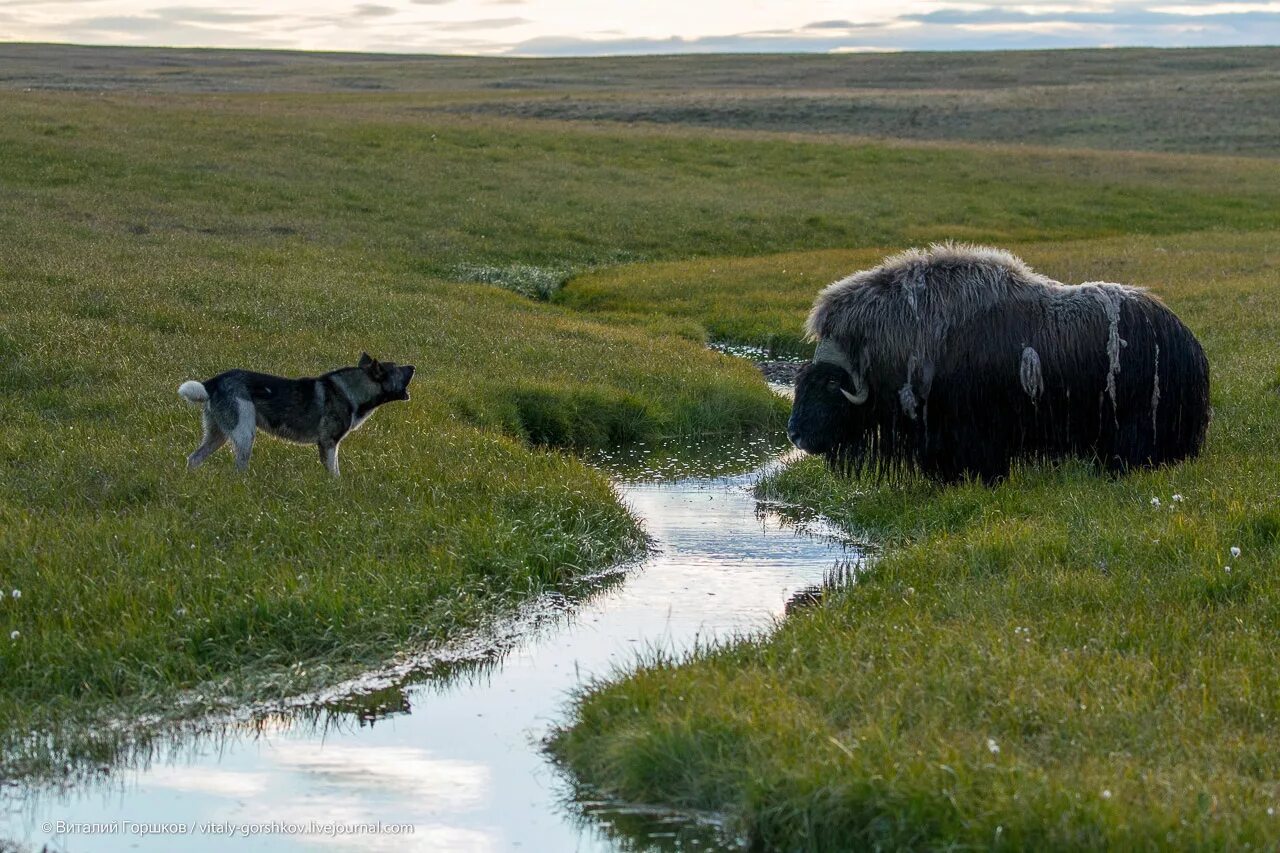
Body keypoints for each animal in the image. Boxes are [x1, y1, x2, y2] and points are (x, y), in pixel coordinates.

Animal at [180, 350, 414, 473]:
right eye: (396, 368)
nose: (413, 366)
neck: (352, 390)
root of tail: (212, 382)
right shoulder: (329, 443)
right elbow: (334, 473)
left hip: (217, 435)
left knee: (193, 458)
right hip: (244, 435)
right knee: (238, 469)